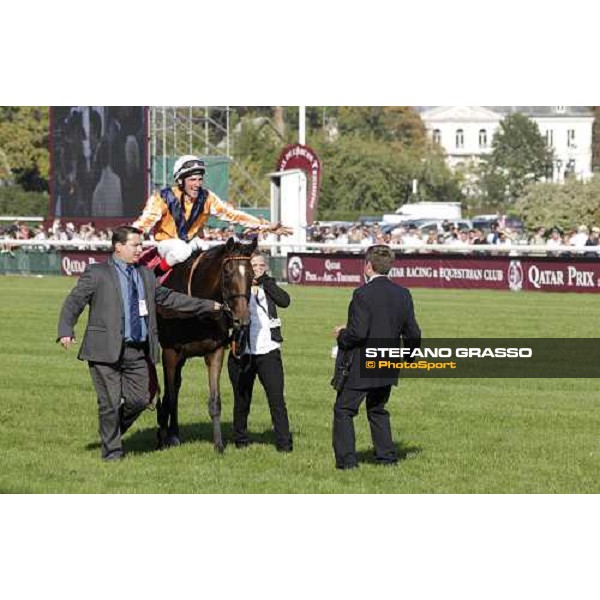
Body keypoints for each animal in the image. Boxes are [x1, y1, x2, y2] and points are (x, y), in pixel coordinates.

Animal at [155, 237, 255, 452]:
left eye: (252, 274)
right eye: (228, 272)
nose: (242, 319)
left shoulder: (215, 351)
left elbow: (215, 401)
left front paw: (218, 444)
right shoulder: (170, 352)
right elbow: (171, 396)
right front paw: (166, 436)